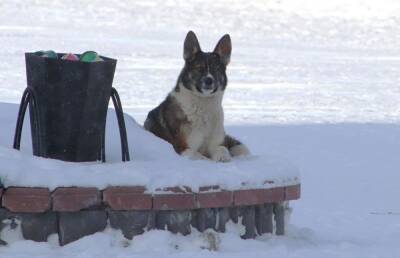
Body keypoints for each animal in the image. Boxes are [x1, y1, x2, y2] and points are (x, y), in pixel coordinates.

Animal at [144, 30, 250, 161]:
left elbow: (223, 149)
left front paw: (223, 157)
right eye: (199, 68)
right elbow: (199, 156)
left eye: (216, 69)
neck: (203, 106)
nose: (209, 80)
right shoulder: (182, 148)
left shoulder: (217, 143)